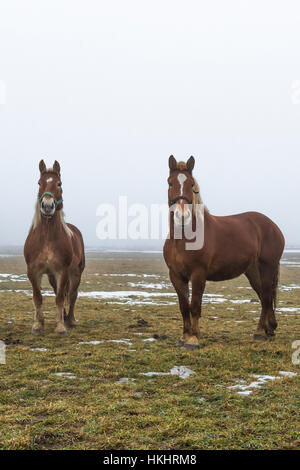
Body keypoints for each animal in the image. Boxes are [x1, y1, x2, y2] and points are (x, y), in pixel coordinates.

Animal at [23, 161, 85, 334]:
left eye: (59, 183)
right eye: (39, 183)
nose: (47, 206)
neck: (47, 238)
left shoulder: (62, 271)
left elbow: (60, 298)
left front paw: (60, 327)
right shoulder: (33, 271)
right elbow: (38, 297)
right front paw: (38, 324)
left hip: (76, 272)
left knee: (72, 294)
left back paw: (70, 319)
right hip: (51, 276)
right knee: (59, 291)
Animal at [163, 155, 284, 348]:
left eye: (191, 184)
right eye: (169, 182)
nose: (182, 215)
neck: (183, 239)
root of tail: (272, 225)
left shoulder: (198, 274)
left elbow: (195, 305)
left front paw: (193, 339)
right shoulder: (176, 275)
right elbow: (183, 306)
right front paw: (184, 337)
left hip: (268, 267)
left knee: (266, 296)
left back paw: (260, 332)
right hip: (252, 270)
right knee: (263, 296)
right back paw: (268, 329)